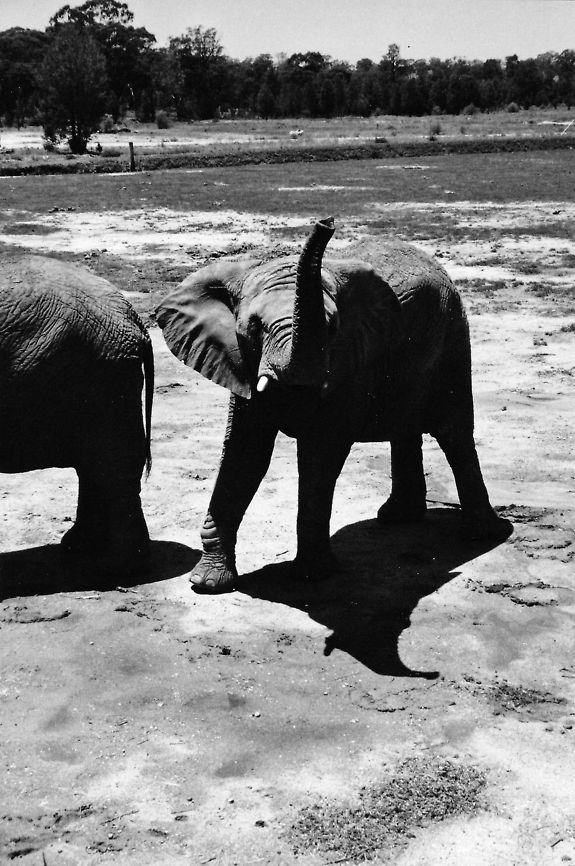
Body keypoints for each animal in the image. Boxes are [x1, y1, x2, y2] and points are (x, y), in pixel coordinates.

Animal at [0, 254, 153, 565]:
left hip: (102, 373)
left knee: (112, 466)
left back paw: (120, 566)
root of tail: (134, 318)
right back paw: (79, 547)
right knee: (92, 465)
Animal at [157, 218, 511, 593]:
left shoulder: (347, 362)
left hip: (453, 335)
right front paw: (207, 583)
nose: (325, 223)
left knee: (453, 433)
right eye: (253, 327)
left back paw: (480, 535)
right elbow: (245, 451)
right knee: (405, 429)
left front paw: (312, 576)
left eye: (331, 327)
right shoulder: (239, 362)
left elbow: (319, 454)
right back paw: (398, 518)